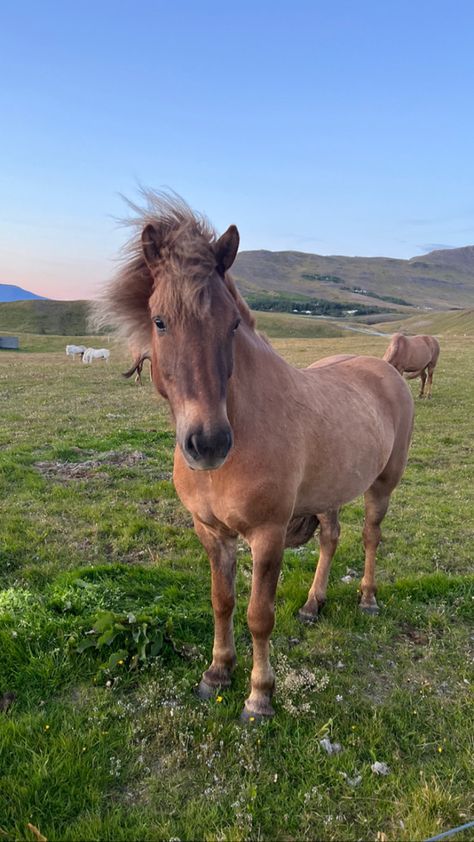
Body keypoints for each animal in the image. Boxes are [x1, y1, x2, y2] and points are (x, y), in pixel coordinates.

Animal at [94, 192, 412, 720]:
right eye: (160, 321)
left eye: (233, 323)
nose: (208, 443)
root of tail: (385, 367)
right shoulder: (210, 533)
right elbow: (222, 602)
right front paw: (217, 672)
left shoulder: (267, 536)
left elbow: (259, 615)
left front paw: (260, 696)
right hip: (329, 491)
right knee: (331, 539)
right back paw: (312, 604)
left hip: (382, 486)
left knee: (370, 536)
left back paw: (367, 598)